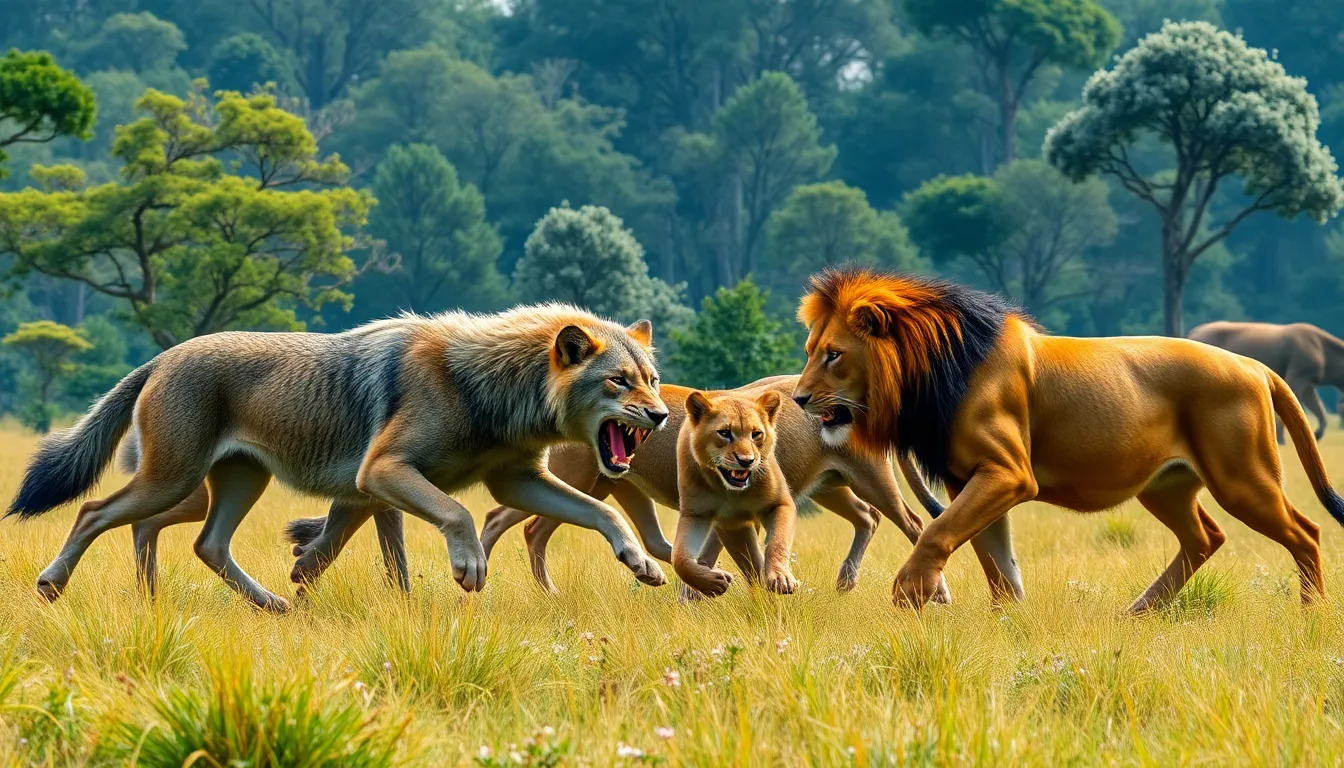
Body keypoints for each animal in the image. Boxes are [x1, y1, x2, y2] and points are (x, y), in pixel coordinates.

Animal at [7, 305, 670, 610]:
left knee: (203, 544)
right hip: (172, 482)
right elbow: (455, 517)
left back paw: (270, 606)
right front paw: (468, 569)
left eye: (653, 380)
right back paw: (51, 584)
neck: (486, 387)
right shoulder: (381, 473)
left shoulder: (507, 483)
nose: (663, 416)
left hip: (228, 486)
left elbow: (604, 514)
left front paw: (642, 564)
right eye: (617, 382)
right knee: (95, 511)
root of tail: (161, 357)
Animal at [792, 268, 1344, 613]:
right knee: (1204, 537)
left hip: (1242, 478)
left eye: (834, 355)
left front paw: (911, 591)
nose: (797, 398)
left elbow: (938, 532)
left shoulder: (1009, 473)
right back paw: (1138, 612)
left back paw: (1310, 613)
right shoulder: (968, 480)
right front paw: (1011, 623)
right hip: (1166, 486)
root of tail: (1255, 366)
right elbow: (996, 563)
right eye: (810, 349)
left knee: (1306, 532)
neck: (932, 375)